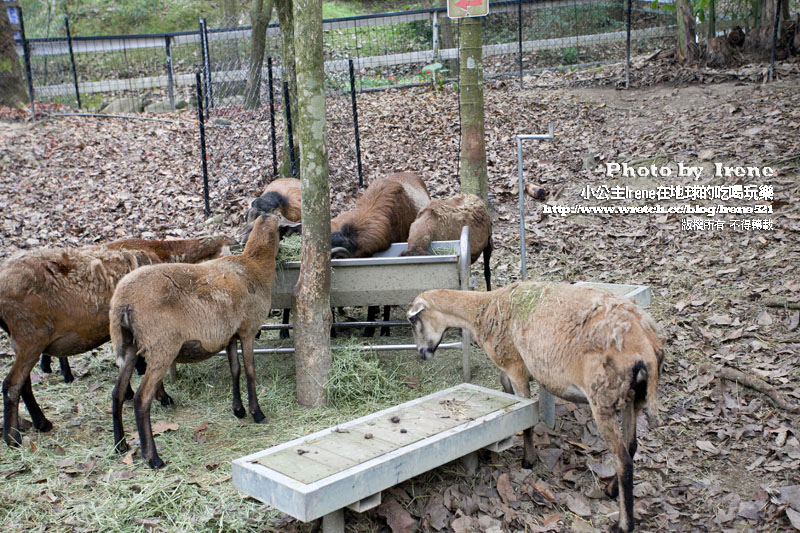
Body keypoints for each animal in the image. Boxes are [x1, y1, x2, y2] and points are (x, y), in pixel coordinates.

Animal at [0, 235, 233, 446]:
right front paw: (163, 397)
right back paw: (14, 438)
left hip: (24, 341)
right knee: (12, 384)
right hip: (29, 337)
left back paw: (41, 423)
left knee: (24, 383)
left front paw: (130, 392)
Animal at [111, 214, 286, 468]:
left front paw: (238, 410)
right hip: (161, 347)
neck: (254, 265)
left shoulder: (229, 336)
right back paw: (153, 458)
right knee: (141, 400)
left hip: (130, 346)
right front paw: (257, 413)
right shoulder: (248, 330)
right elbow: (250, 371)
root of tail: (121, 302)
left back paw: (120, 445)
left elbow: (235, 370)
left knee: (117, 393)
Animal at [406, 280, 664, 528]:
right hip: (632, 398)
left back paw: (623, 524)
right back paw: (611, 490)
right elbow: (506, 390)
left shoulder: (515, 367)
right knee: (631, 447)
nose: (421, 353)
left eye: (413, 320)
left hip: (603, 399)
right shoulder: (510, 369)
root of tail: (646, 348)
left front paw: (528, 460)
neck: (484, 309)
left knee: (623, 460)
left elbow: (527, 419)